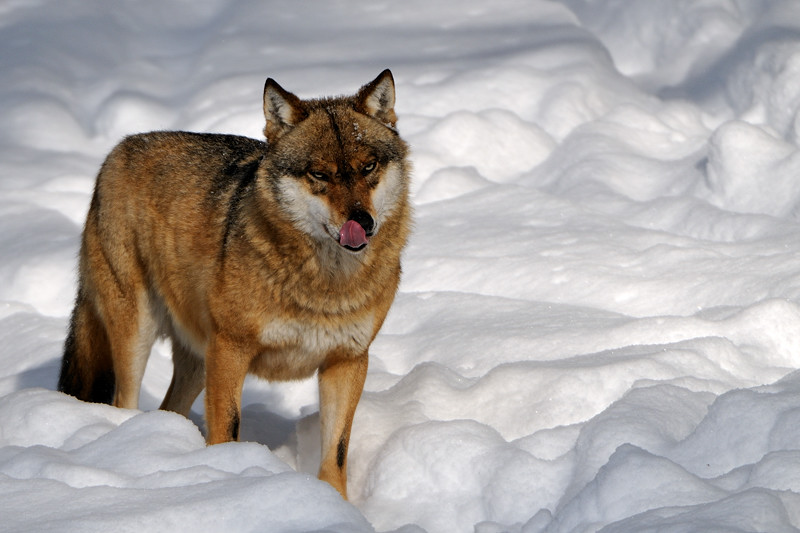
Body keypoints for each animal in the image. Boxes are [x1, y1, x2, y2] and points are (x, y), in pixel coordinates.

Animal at [57, 70, 411, 499]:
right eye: (319, 174)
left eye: (368, 166)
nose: (362, 221)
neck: (325, 285)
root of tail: (118, 150)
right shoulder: (231, 349)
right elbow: (227, 428)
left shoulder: (347, 360)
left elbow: (337, 452)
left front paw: (336, 504)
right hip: (138, 335)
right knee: (122, 402)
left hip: (197, 358)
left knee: (167, 410)